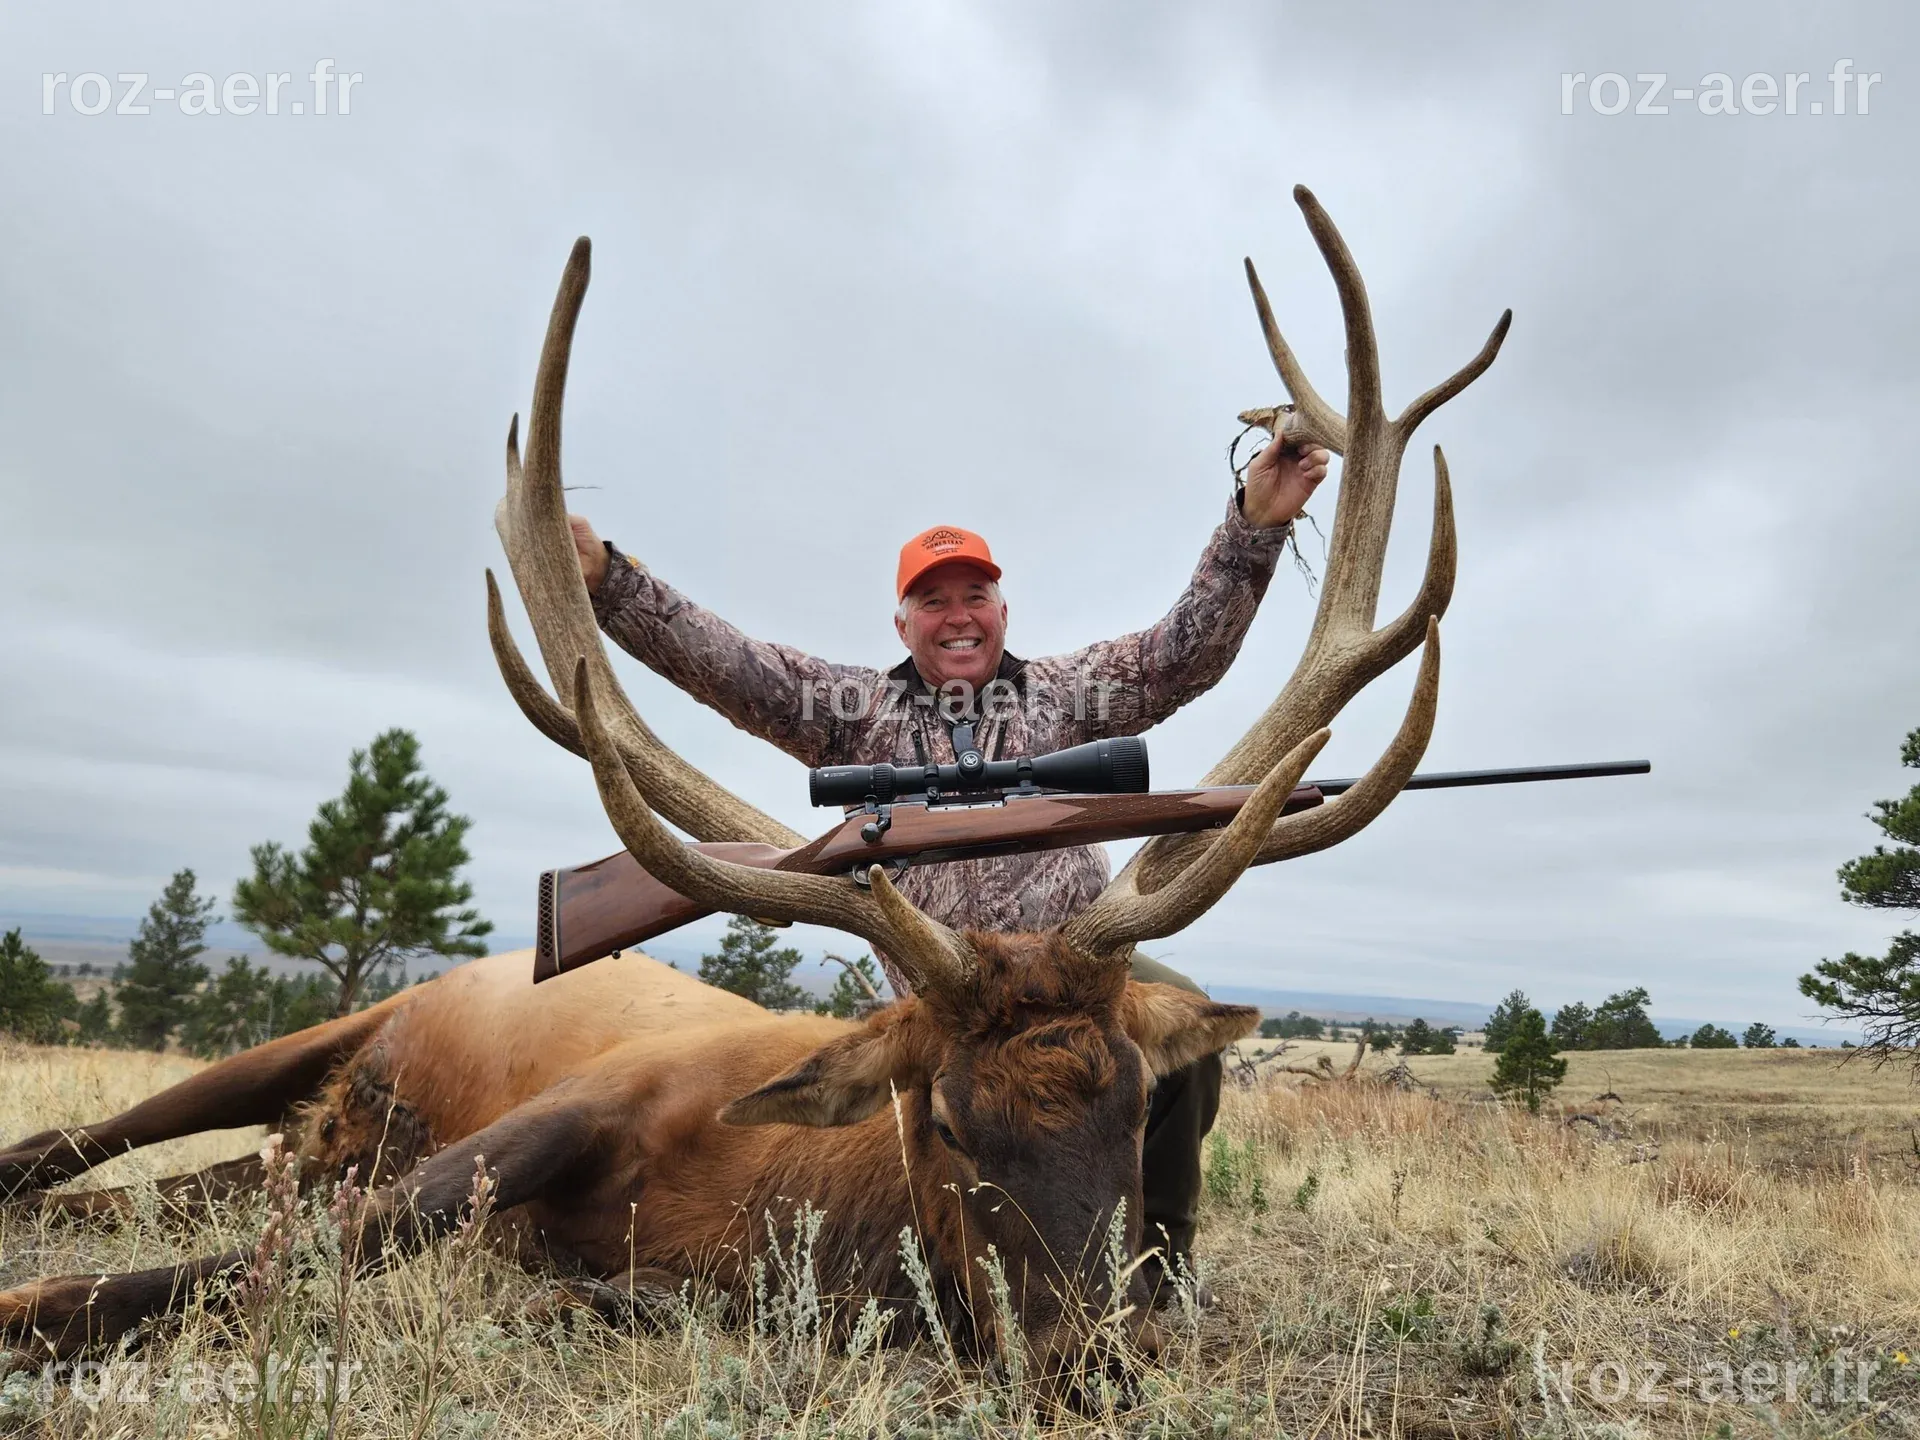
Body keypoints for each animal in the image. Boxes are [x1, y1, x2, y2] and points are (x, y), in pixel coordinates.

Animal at [0, 186, 1507, 1387]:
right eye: (943, 1120)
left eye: (1141, 1110)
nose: (1090, 1369)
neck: (770, 1199)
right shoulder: (582, 1102)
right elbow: (303, 1255)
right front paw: (35, 1312)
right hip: (333, 1032)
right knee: (87, 1144)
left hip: (302, 1129)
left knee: (199, 1185)